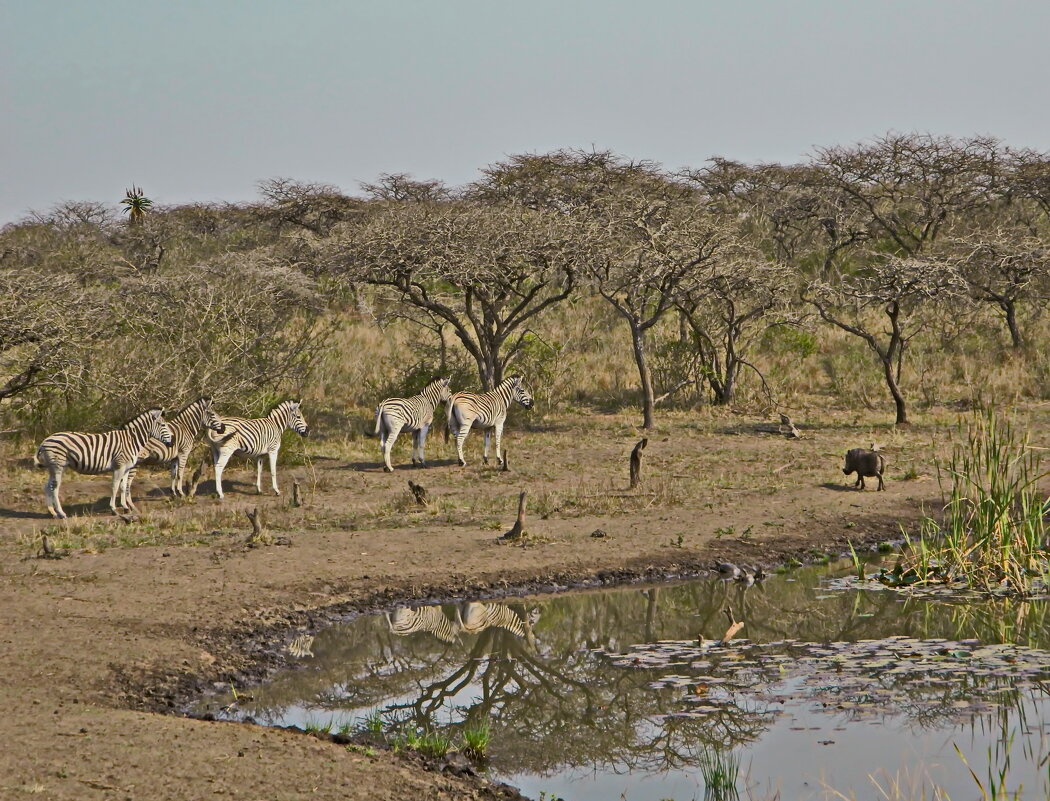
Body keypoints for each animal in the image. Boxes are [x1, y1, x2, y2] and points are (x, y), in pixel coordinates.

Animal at [34, 407, 174, 520]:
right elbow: (115, 487)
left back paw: (52, 513)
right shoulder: (119, 466)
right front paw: (114, 510)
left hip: (53, 467)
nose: (172, 442)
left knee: (48, 486)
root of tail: (45, 441)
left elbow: (123, 487)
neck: (131, 440)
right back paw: (61, 513)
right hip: (58, 465)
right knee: (55, 488)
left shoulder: (126, 468)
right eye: (163, 425)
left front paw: (125, 507)